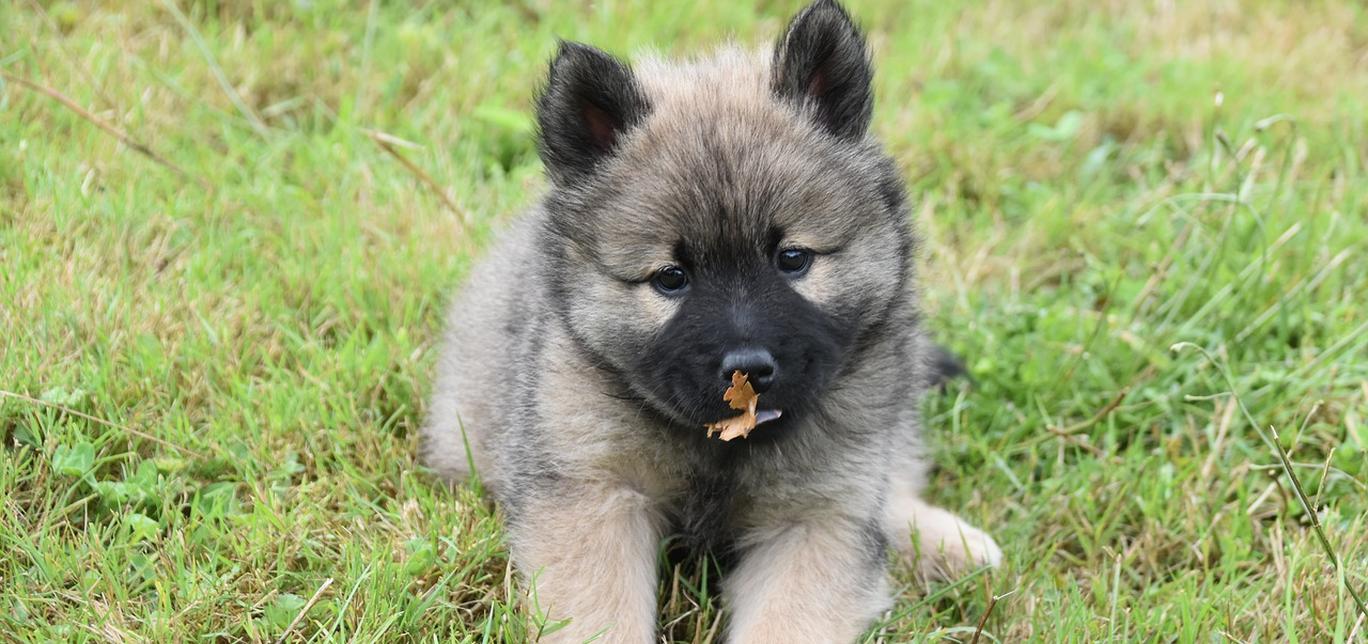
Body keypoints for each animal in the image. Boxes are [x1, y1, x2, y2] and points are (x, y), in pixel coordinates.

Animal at [421, 2, 1001, 642]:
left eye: (792, 258)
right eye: (671, 277)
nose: (748, 370)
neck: (720, 446)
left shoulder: (819, 517)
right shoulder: (593, 494)